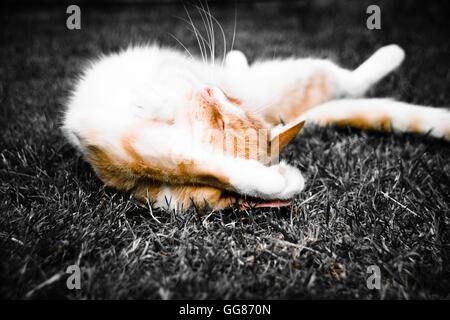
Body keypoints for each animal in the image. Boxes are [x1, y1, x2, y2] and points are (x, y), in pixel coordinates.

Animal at [62, 43, 450, 212]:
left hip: (297, 78)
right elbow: (188, 151)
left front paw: (274, 181)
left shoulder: (132, 146)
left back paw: (393, 53)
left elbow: (200, 163)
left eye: (222, 117)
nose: (210, 88)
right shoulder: (115, 142)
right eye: (226, 105)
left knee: (351, 82)